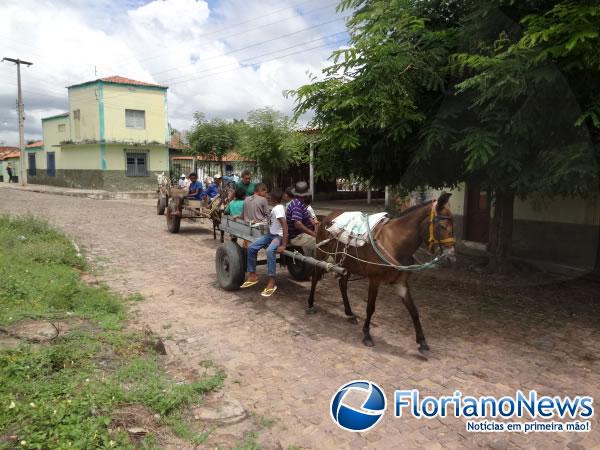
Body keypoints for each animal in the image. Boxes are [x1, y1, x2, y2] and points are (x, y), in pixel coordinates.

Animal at [310, 193, 454, 356]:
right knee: (315, 278)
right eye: (442, 226)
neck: (394, 242)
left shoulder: (401, 283)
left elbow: (414, 311)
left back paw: (349, 313)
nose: (451, 257)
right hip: (321, 255)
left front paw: (422, 342)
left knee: (342, 284)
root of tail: (326, 218)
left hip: (347, 263)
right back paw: (310, 304)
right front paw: (367, 335)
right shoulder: (375, 280)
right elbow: (370, 307)